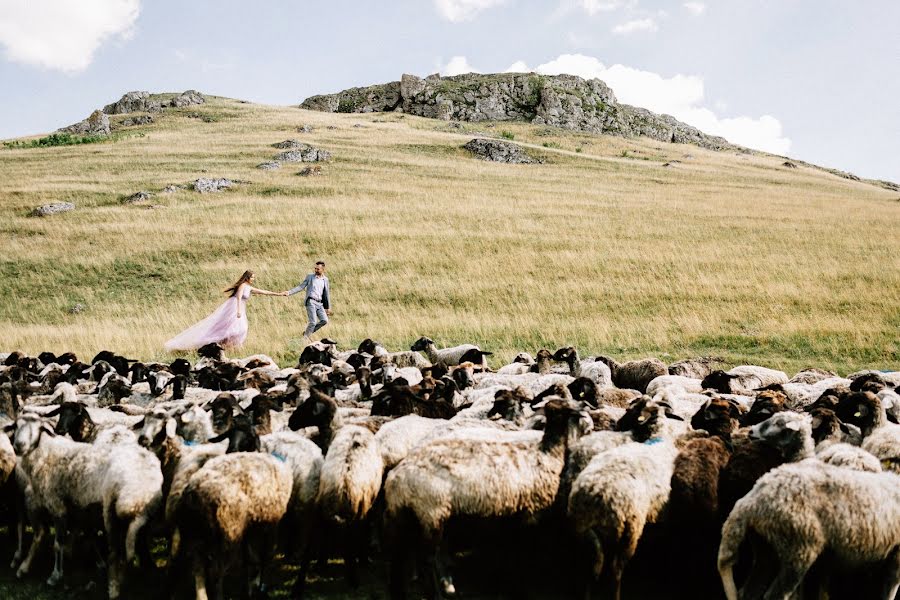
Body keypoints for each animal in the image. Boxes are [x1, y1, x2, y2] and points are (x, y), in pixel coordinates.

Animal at [173, 452, 292, 596]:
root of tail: (194, 493)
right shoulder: (272, 522)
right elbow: (266, 556)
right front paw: (258, 585)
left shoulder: (248, 527)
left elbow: (248, 558)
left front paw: (248, 587)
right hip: (227, 534)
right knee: (216, 573)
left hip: (194, 533)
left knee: (197, 567)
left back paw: (200, 595)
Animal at [384, 396, 592, 596]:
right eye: (567, 411)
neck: (547, 451)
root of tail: (396, 479)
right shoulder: (530, 515)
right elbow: (522, 555)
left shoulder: (511, 517)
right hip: (431, 514)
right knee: (427, 559)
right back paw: (438, 592)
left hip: (406, 517)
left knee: (400, 556)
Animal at [716, 462, 900, 600]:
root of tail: (750, 502)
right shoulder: (895, 556)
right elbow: (889, 590)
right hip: (798, 546)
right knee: (774, 595)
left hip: (765, 548)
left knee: (750, 591)